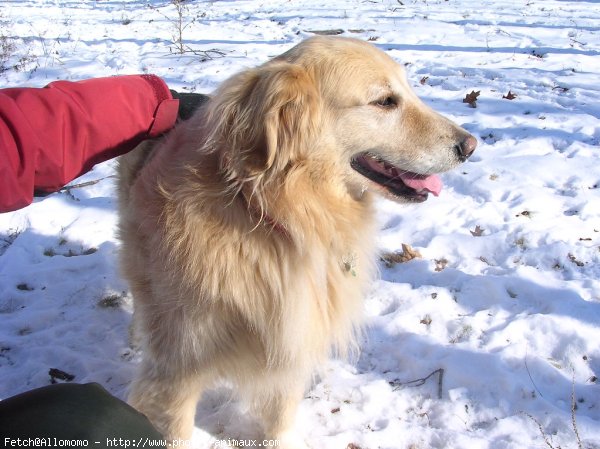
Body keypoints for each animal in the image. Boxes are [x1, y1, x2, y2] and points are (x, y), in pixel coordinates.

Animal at [116, 36, 474, 446]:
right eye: (385, 101)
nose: (471, 146)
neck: (274, 216)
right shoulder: (176, 373)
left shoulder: (293, 345)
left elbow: (280, 417)